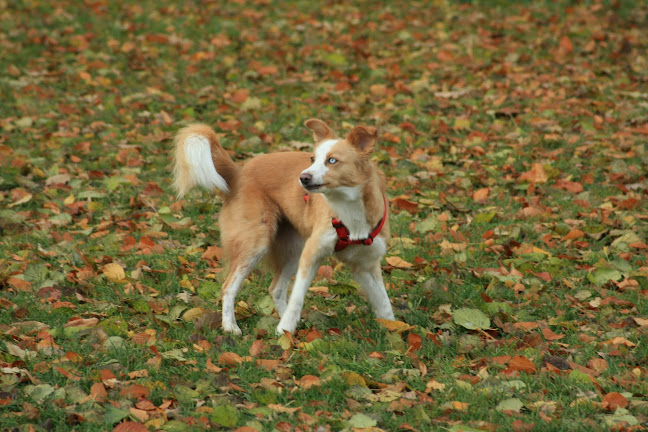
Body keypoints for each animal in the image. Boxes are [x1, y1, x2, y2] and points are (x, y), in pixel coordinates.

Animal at [172, 120, 394, 336]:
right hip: (256, 243)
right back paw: (231, 327)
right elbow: (297, 297)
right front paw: (285, 328)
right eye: (312, 158)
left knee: (276, 289)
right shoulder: (312, 254)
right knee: (229, 287)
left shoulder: (366, 264)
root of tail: (238, 174)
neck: (349, 210)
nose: (303, 178)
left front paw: (393, 329)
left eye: (332, 160)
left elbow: (384, 302)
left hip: (293, 249)